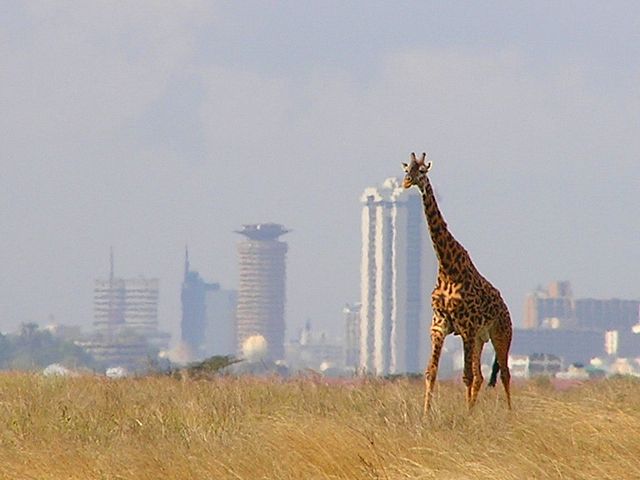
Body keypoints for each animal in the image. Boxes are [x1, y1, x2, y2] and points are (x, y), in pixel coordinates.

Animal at [402, 152, 512, 413]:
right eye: (406, 169)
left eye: (423, 171)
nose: (407, 182)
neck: (448, 268)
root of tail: (506, 308)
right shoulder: (439, 325)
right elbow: (431, 372)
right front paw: (425, 414)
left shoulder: (467, 327)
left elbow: (466, 376)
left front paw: (466, 416)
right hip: (481, 339)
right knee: (482, 376)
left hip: (501, 334)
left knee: (504, 373)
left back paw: (510, 414)